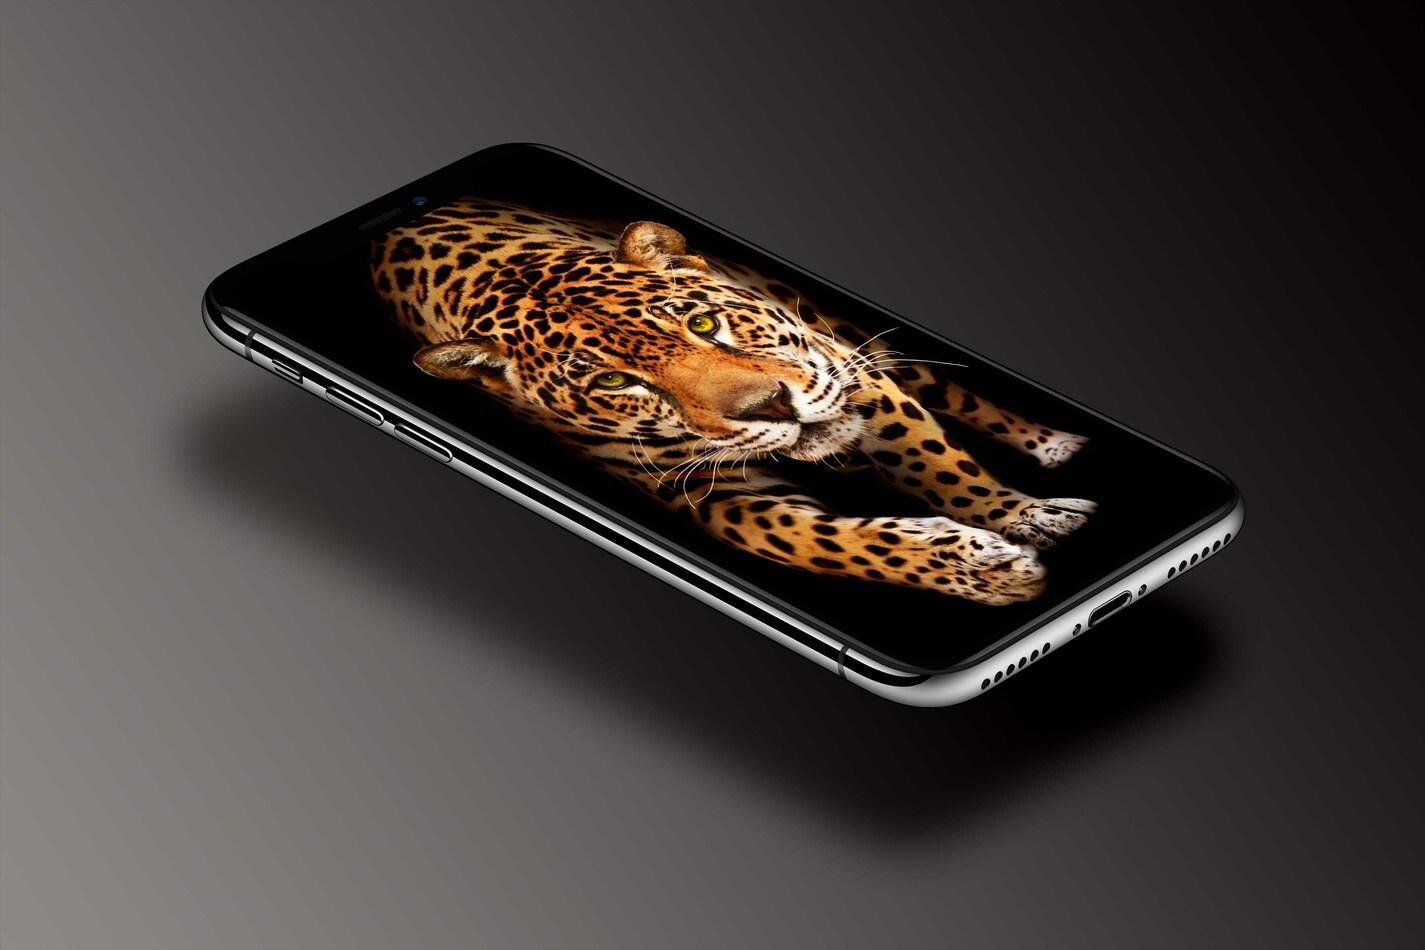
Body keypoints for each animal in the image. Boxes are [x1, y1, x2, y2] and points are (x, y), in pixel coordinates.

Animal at [370, 199, 1095, 605]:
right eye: (613, 384)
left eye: (701, 323)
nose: (770, 407)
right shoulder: (706, 492)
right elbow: (822, 543)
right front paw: (989, 568)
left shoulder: (841, 369)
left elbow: (936, 465)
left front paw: (1024, 519)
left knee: (955, 393)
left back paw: (1055, 443)